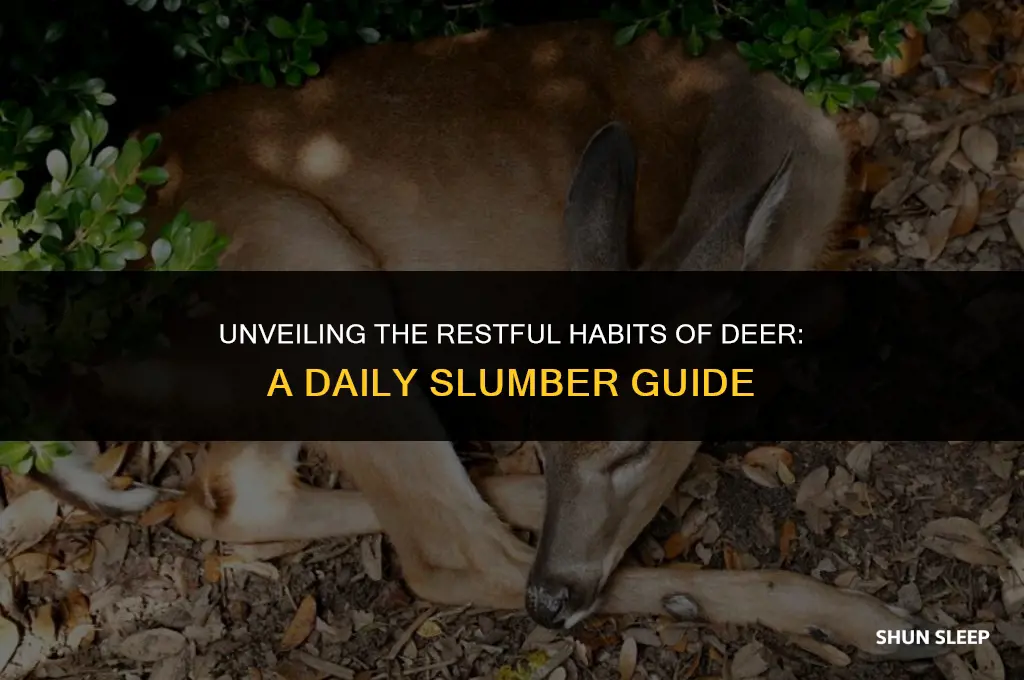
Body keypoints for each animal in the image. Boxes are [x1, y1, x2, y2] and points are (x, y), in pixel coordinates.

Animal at [26, 20, 945, 663]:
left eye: (636, 443)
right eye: (546, 432)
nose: (553, 600)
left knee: (227, 496)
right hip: (310, 268)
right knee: (445, 552)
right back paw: (857, 618)